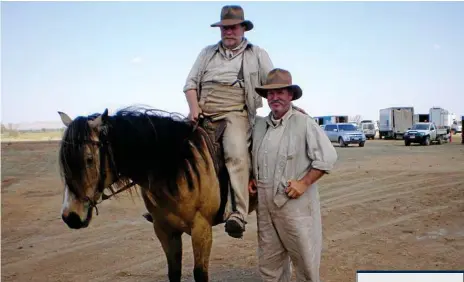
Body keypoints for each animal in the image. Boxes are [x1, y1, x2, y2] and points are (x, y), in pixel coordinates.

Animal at [58, 106, 258, 282]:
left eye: (89, 159)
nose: (71, 216)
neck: (178, 166)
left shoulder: (201, 228)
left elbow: (200, 274)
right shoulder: (164, 230)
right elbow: (174, 273)